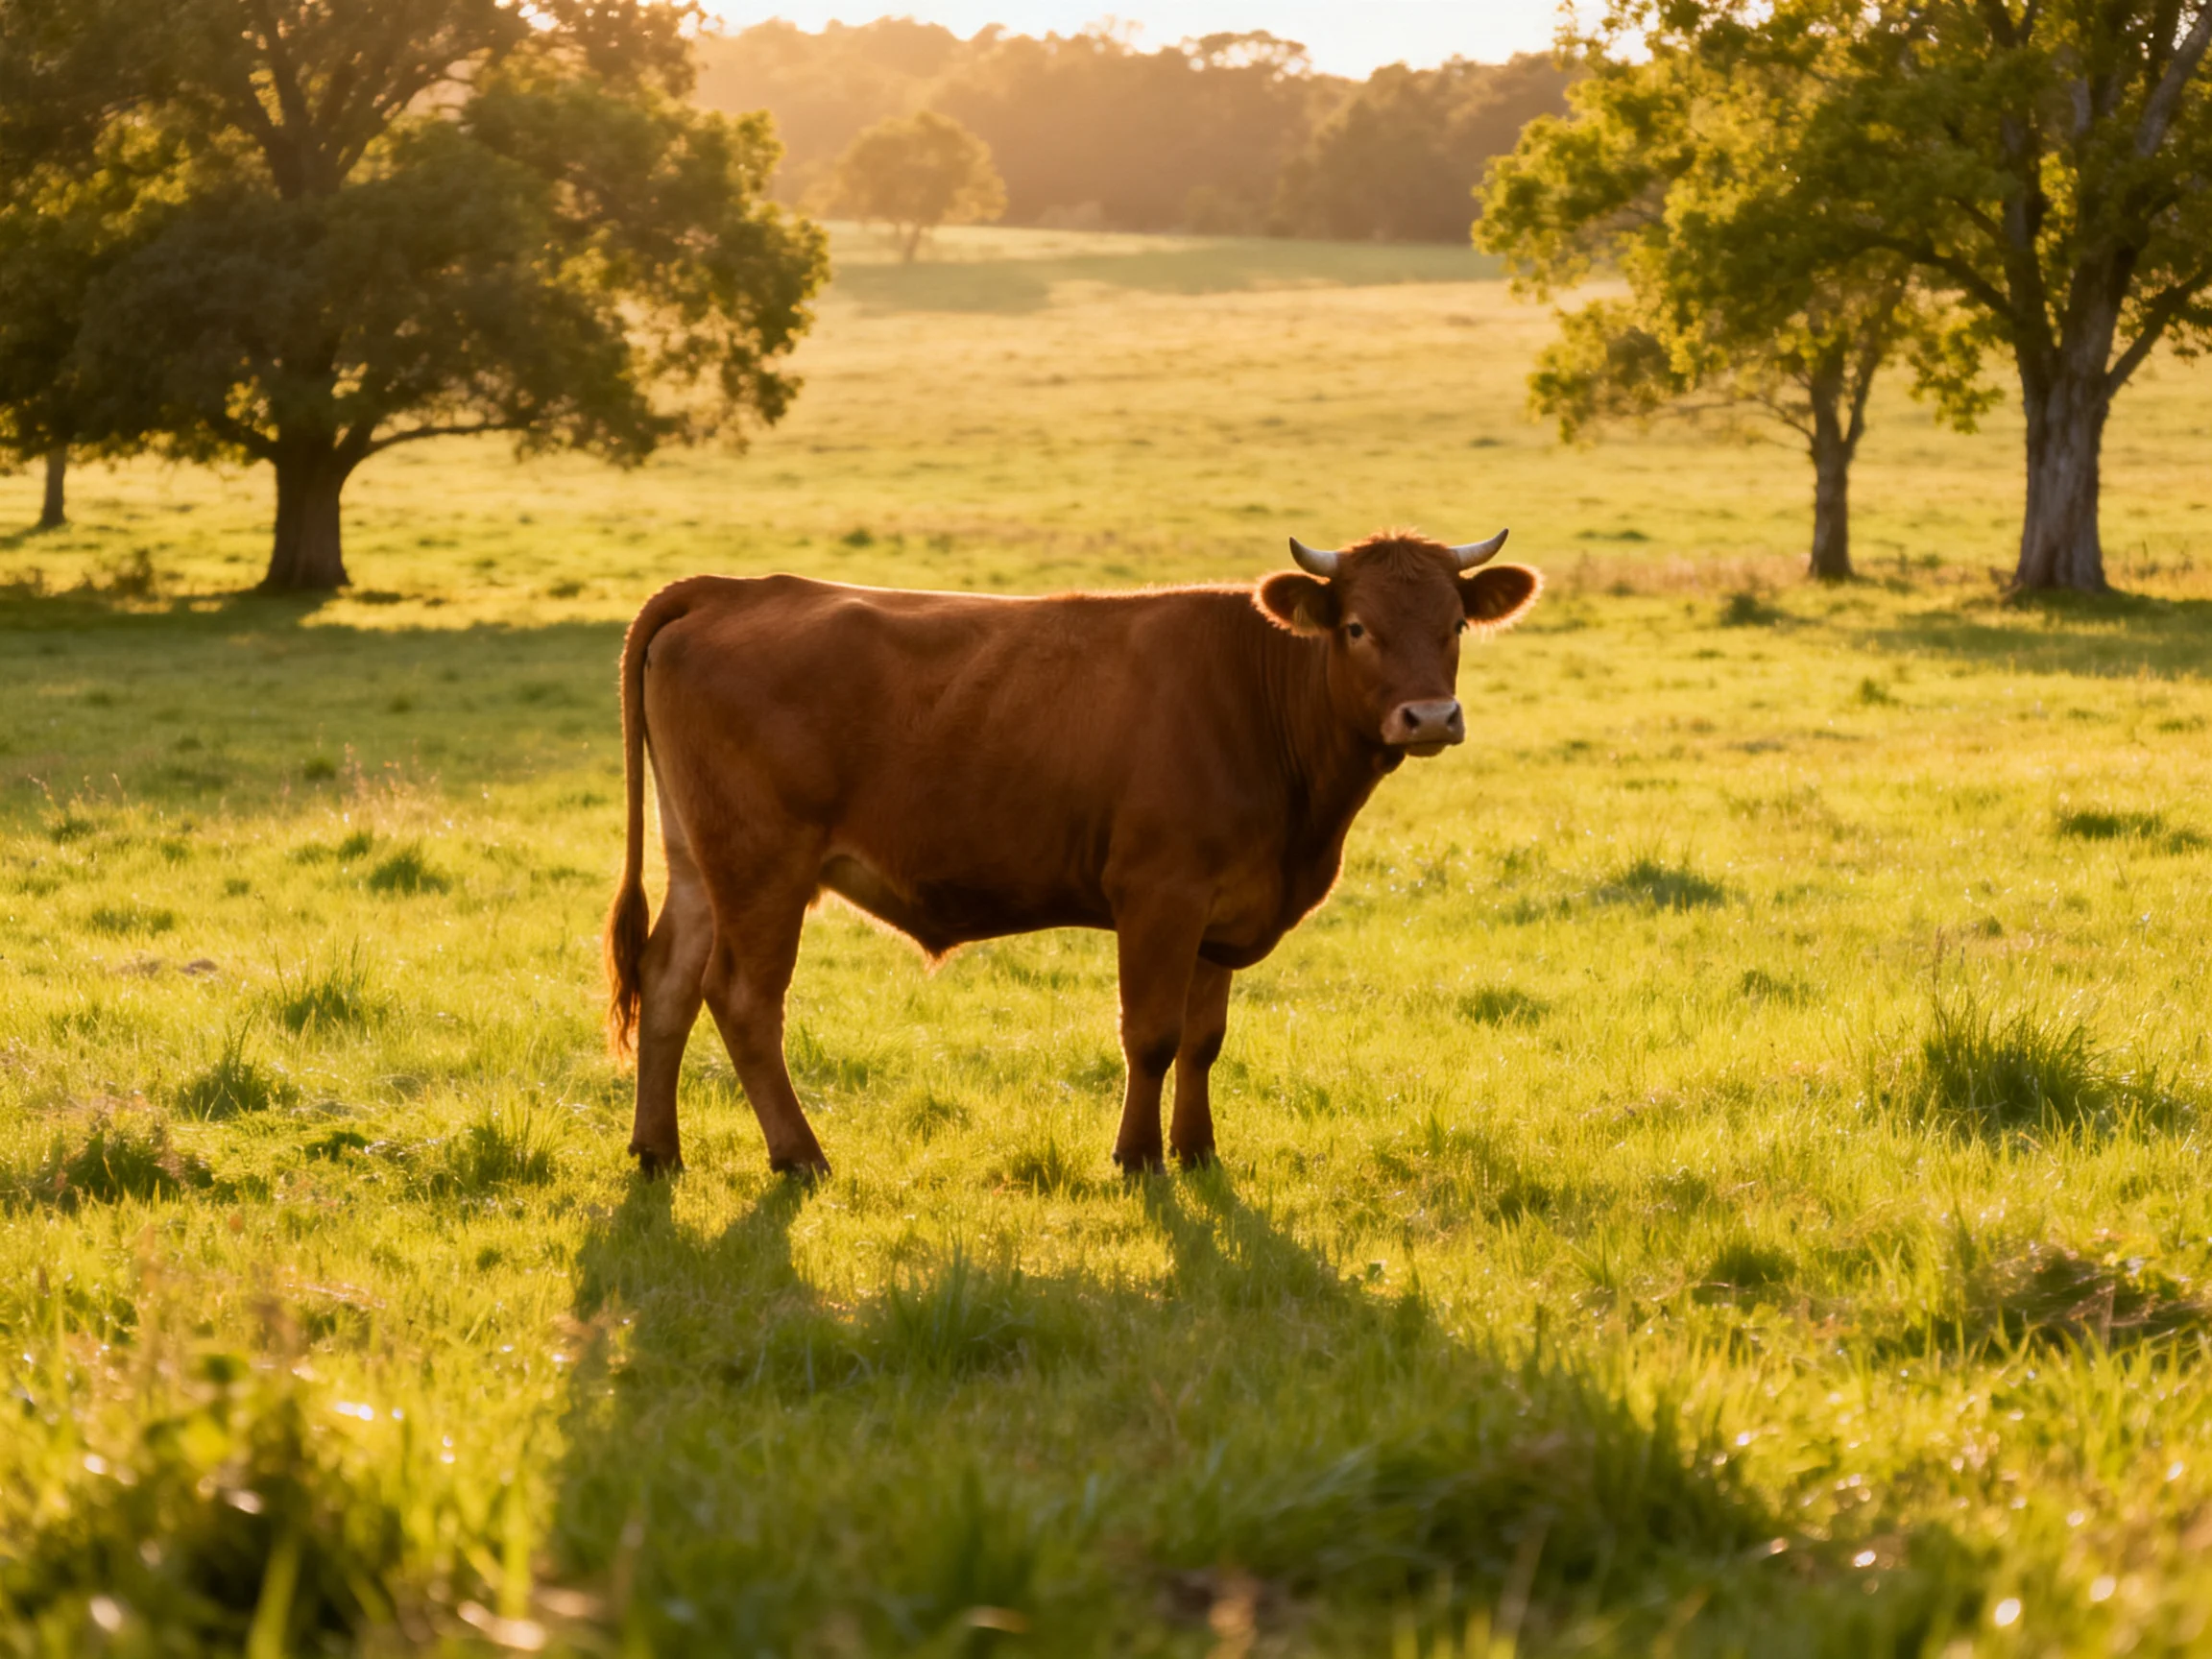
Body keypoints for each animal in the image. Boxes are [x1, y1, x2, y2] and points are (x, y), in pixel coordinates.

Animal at [604, 529, 1542, 1178]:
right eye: (1354, 626)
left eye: (1456, 624)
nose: (1429, 717)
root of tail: (729, 589)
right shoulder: (1160, 893)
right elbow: (1152, 1035)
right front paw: (1138, 1158)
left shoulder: (1223, 907)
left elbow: (1204, 1039)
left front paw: (1198, 1152)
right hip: (763, 865)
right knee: (744, 999)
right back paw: (800, 1155)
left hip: (698, 861)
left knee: (668, 981)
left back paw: (657, 1151)